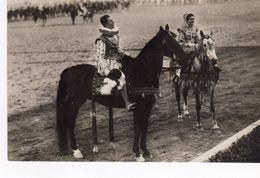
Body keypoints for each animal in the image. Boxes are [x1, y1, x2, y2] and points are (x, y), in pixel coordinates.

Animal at [55, 25, 186, 161]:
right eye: (167, 41)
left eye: (174, 37)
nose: (183, 56)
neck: (142, 71)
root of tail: (67, 71)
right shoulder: (138, 108)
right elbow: (138, 128)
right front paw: (138, 154)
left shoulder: (147, 107)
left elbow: (144, 127)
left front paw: (145, 151)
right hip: (74, 104)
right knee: (70, 123)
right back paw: (76, 151)